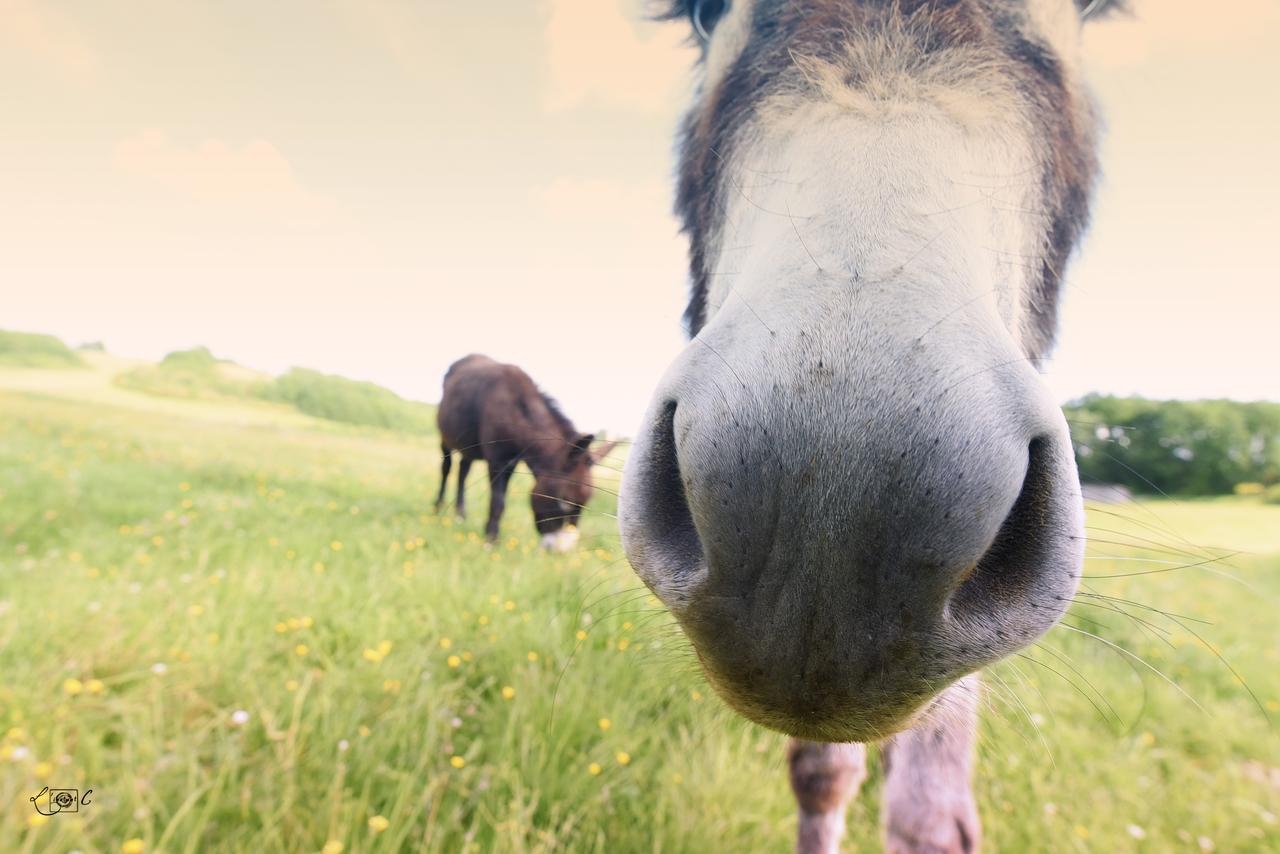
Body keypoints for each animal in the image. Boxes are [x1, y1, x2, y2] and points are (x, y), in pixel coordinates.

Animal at [440, 355, 614, 550]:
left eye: (585, 503)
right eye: (564, 499)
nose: (561, 551)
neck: (514, 409)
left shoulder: (512, 462)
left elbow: (501, 500)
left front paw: (490, 534)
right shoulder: (497, 461)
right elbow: (497, 501)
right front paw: (491, 541)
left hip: (467, 447)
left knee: (463, 470)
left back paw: (460, 515)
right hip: (445, 436)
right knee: (446, 467)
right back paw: (438, 507)